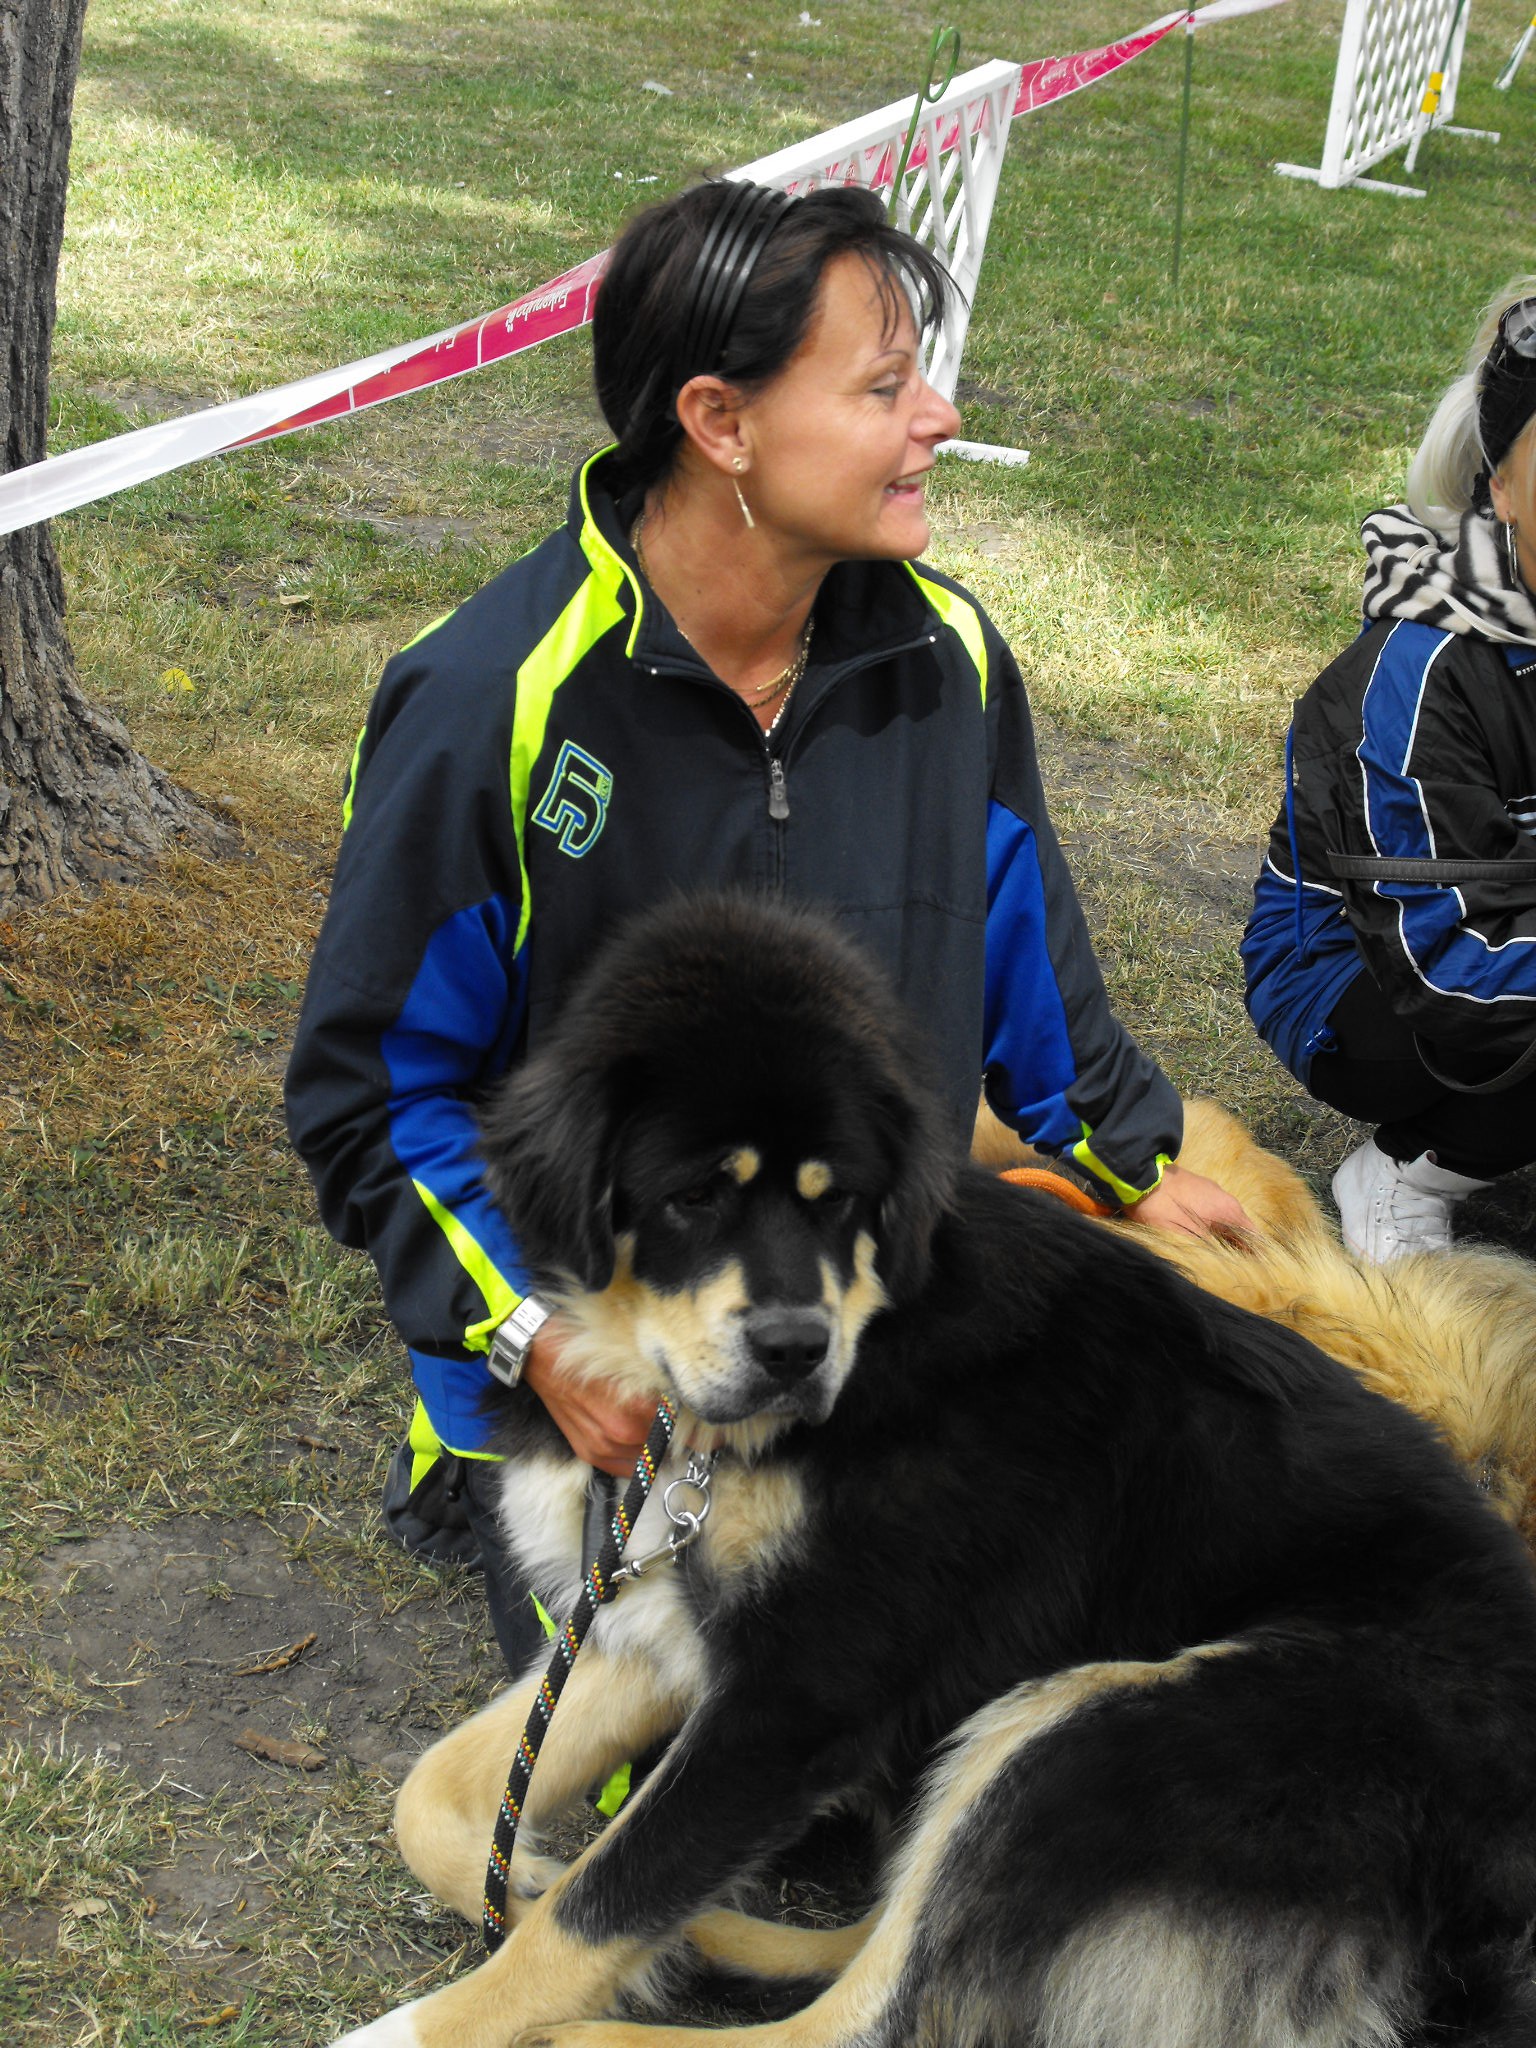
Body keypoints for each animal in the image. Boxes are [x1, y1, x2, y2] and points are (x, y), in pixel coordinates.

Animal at [339, 897, 1536, 2048]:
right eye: (693, 1195)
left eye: (839, 1198)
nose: (797, 1353)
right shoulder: (657, 1629)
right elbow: (436, 1792)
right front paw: (527, 1874)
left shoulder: (795, 1700)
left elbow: (598, 1908)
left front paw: (435, 2012)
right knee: (892, 1933)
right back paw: (702, 1934)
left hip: (1096, 1721)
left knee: (875, 2015)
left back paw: (592, 2022)